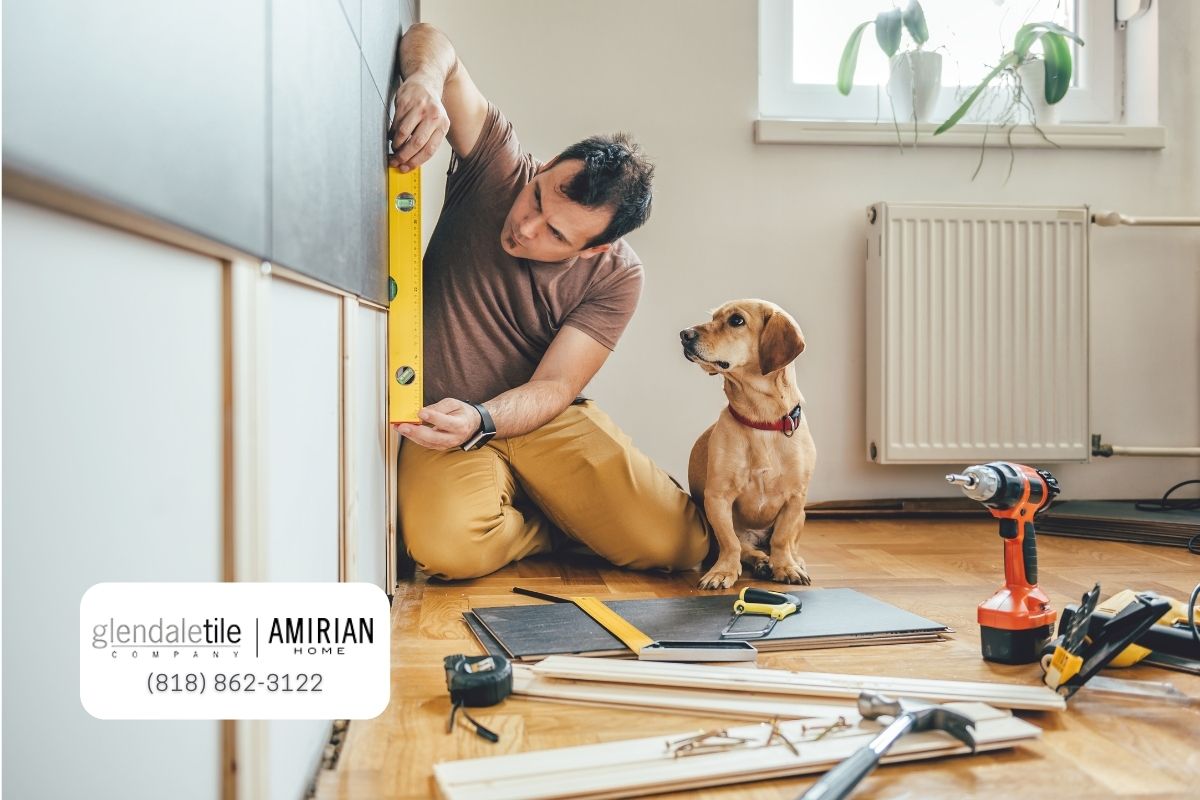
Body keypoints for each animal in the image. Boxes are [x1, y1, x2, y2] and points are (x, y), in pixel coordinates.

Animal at [686, 299, 816, 587]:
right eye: (713, 317)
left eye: (736, 320)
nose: (684, 335)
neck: (762, 421)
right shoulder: (718, 497)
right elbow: (730, 543)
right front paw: (723, 571)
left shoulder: (795, 499)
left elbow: (781, 538)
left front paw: (786, 567)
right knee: (747, 549)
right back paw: (761, 562)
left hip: (802, 515)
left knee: (788, 544)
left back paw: (791, 561)